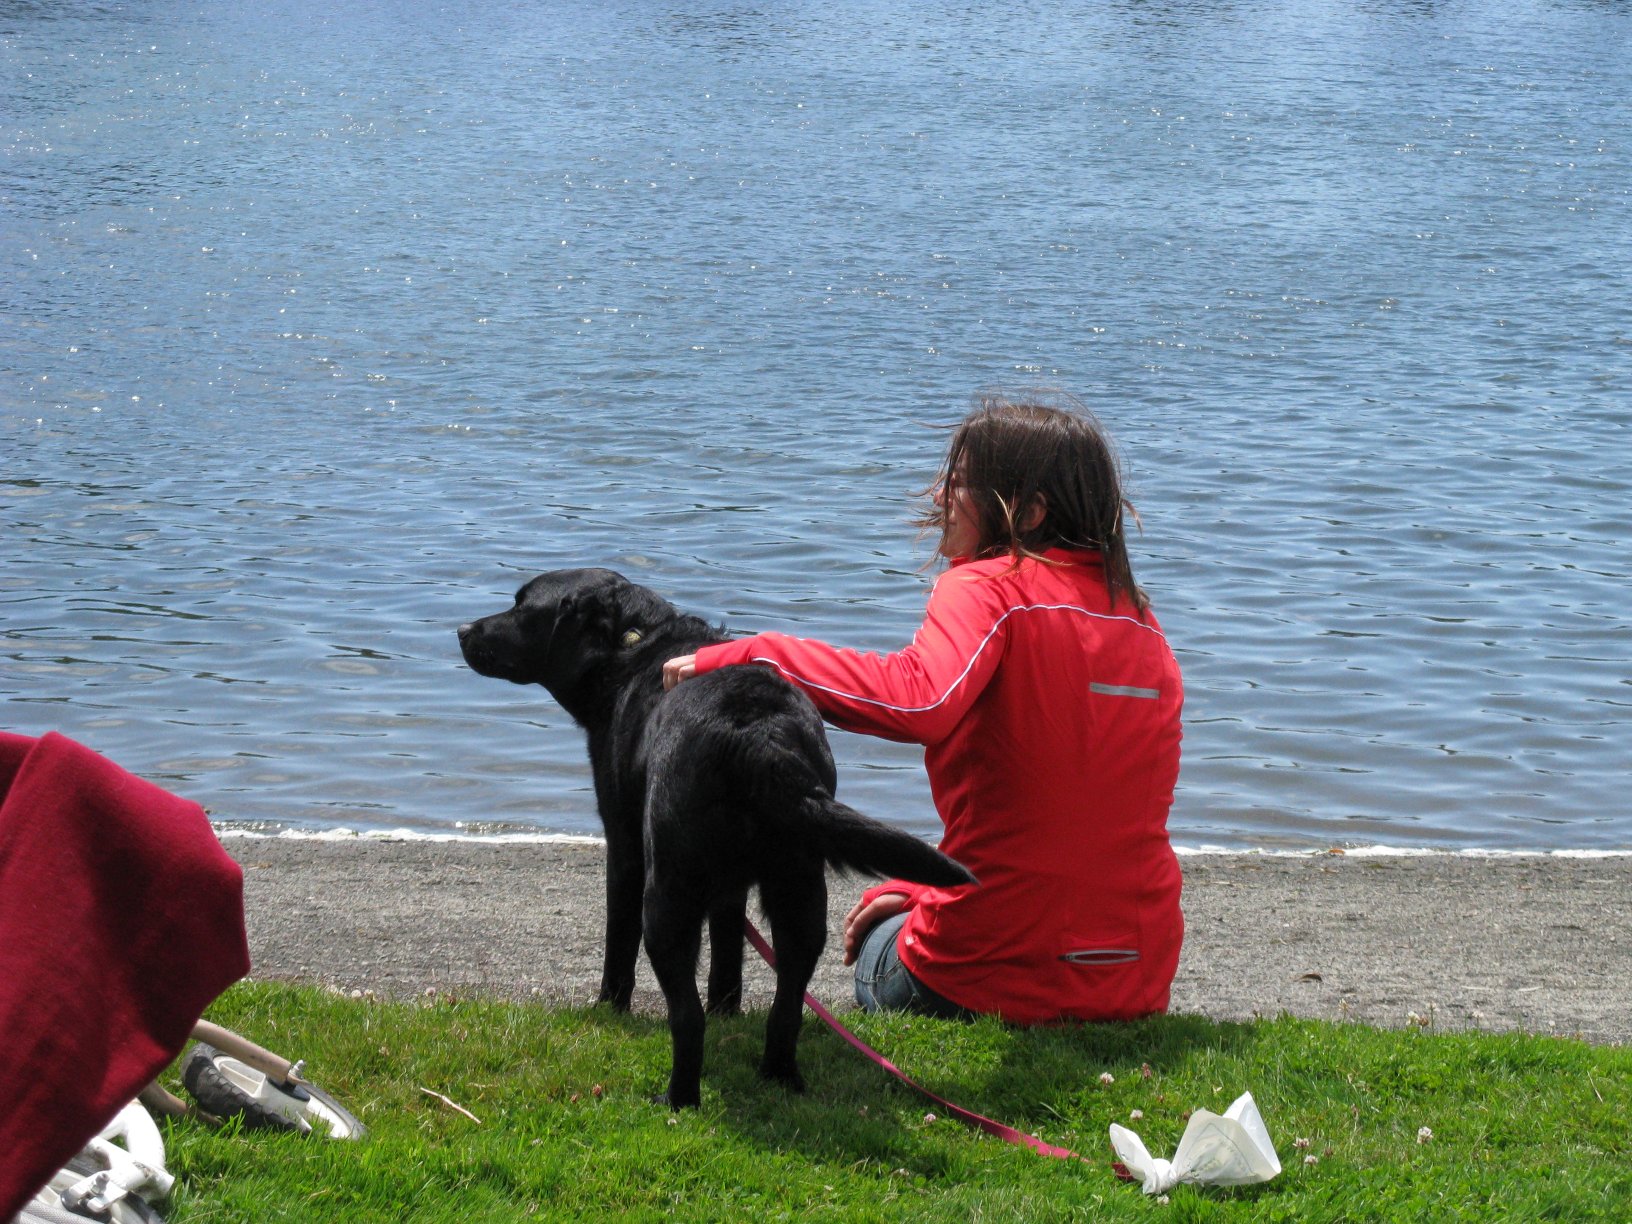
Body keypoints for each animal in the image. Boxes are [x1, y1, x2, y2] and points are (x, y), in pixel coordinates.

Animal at [458, 568, 975, 1108]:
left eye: (521, 606)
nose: (462, 630)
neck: (633, 644)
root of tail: (759, 738)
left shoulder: (625, 849)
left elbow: (618, 941)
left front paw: (608, 1007)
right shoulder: (730, 887)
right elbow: (729, 948)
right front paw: (727, 1009)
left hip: (669, 895)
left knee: (685, 1016)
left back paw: (677, 1099)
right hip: (800, 891)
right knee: (787, 1005)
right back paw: (780, 1079)